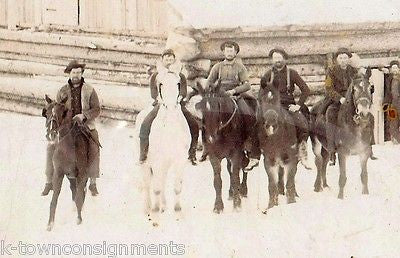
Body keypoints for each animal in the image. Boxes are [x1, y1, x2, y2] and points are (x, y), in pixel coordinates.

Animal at [258, 83, 298, 211]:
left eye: (278, 99)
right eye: (260, 99)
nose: (271, 123)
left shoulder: (291, 160)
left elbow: (290, 182)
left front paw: (291, 203)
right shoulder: (269, 161)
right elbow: (272, 185)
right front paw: (271, 206)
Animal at [310, 68, 376, 198]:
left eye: (371, 88)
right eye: (354, 89)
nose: (363, 114)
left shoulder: (364, 152)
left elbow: (364, 176)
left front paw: (365, 195)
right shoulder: (342, 153)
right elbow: (342, 178)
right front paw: (340, 198)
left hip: (326, 148)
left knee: (324, 161)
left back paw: (325, 185)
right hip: (316, 142)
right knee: (318, 161)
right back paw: (317, 186)